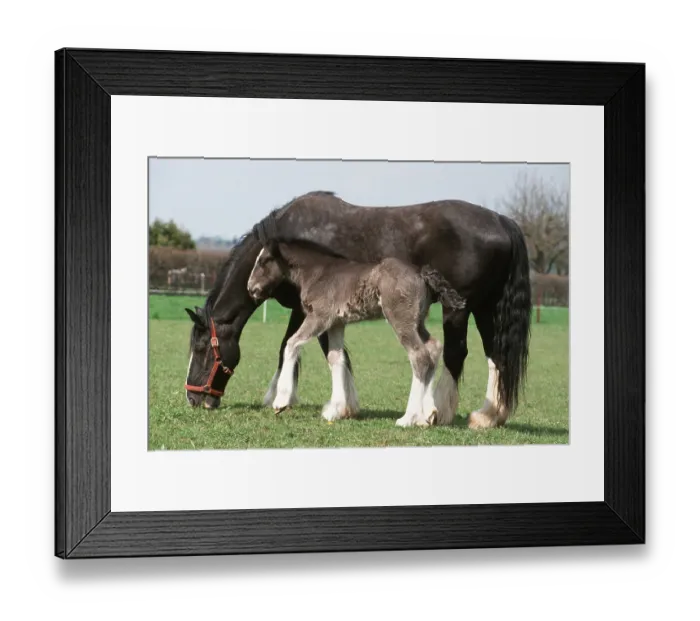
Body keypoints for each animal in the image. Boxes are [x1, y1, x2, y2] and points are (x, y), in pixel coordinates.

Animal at [246, 236, 467, 427]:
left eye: (264, 260)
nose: (251, 288)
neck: (317, 273)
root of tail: (421, 272)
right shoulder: (336, 323)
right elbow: (336, 358)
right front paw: (335, 410)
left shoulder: (319, 317)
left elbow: (291, 344)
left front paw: (281, 401)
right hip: (417, 322)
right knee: (433, 348)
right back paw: (427, 415)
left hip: (400, 320)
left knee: (419, 356)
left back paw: (408, 418)